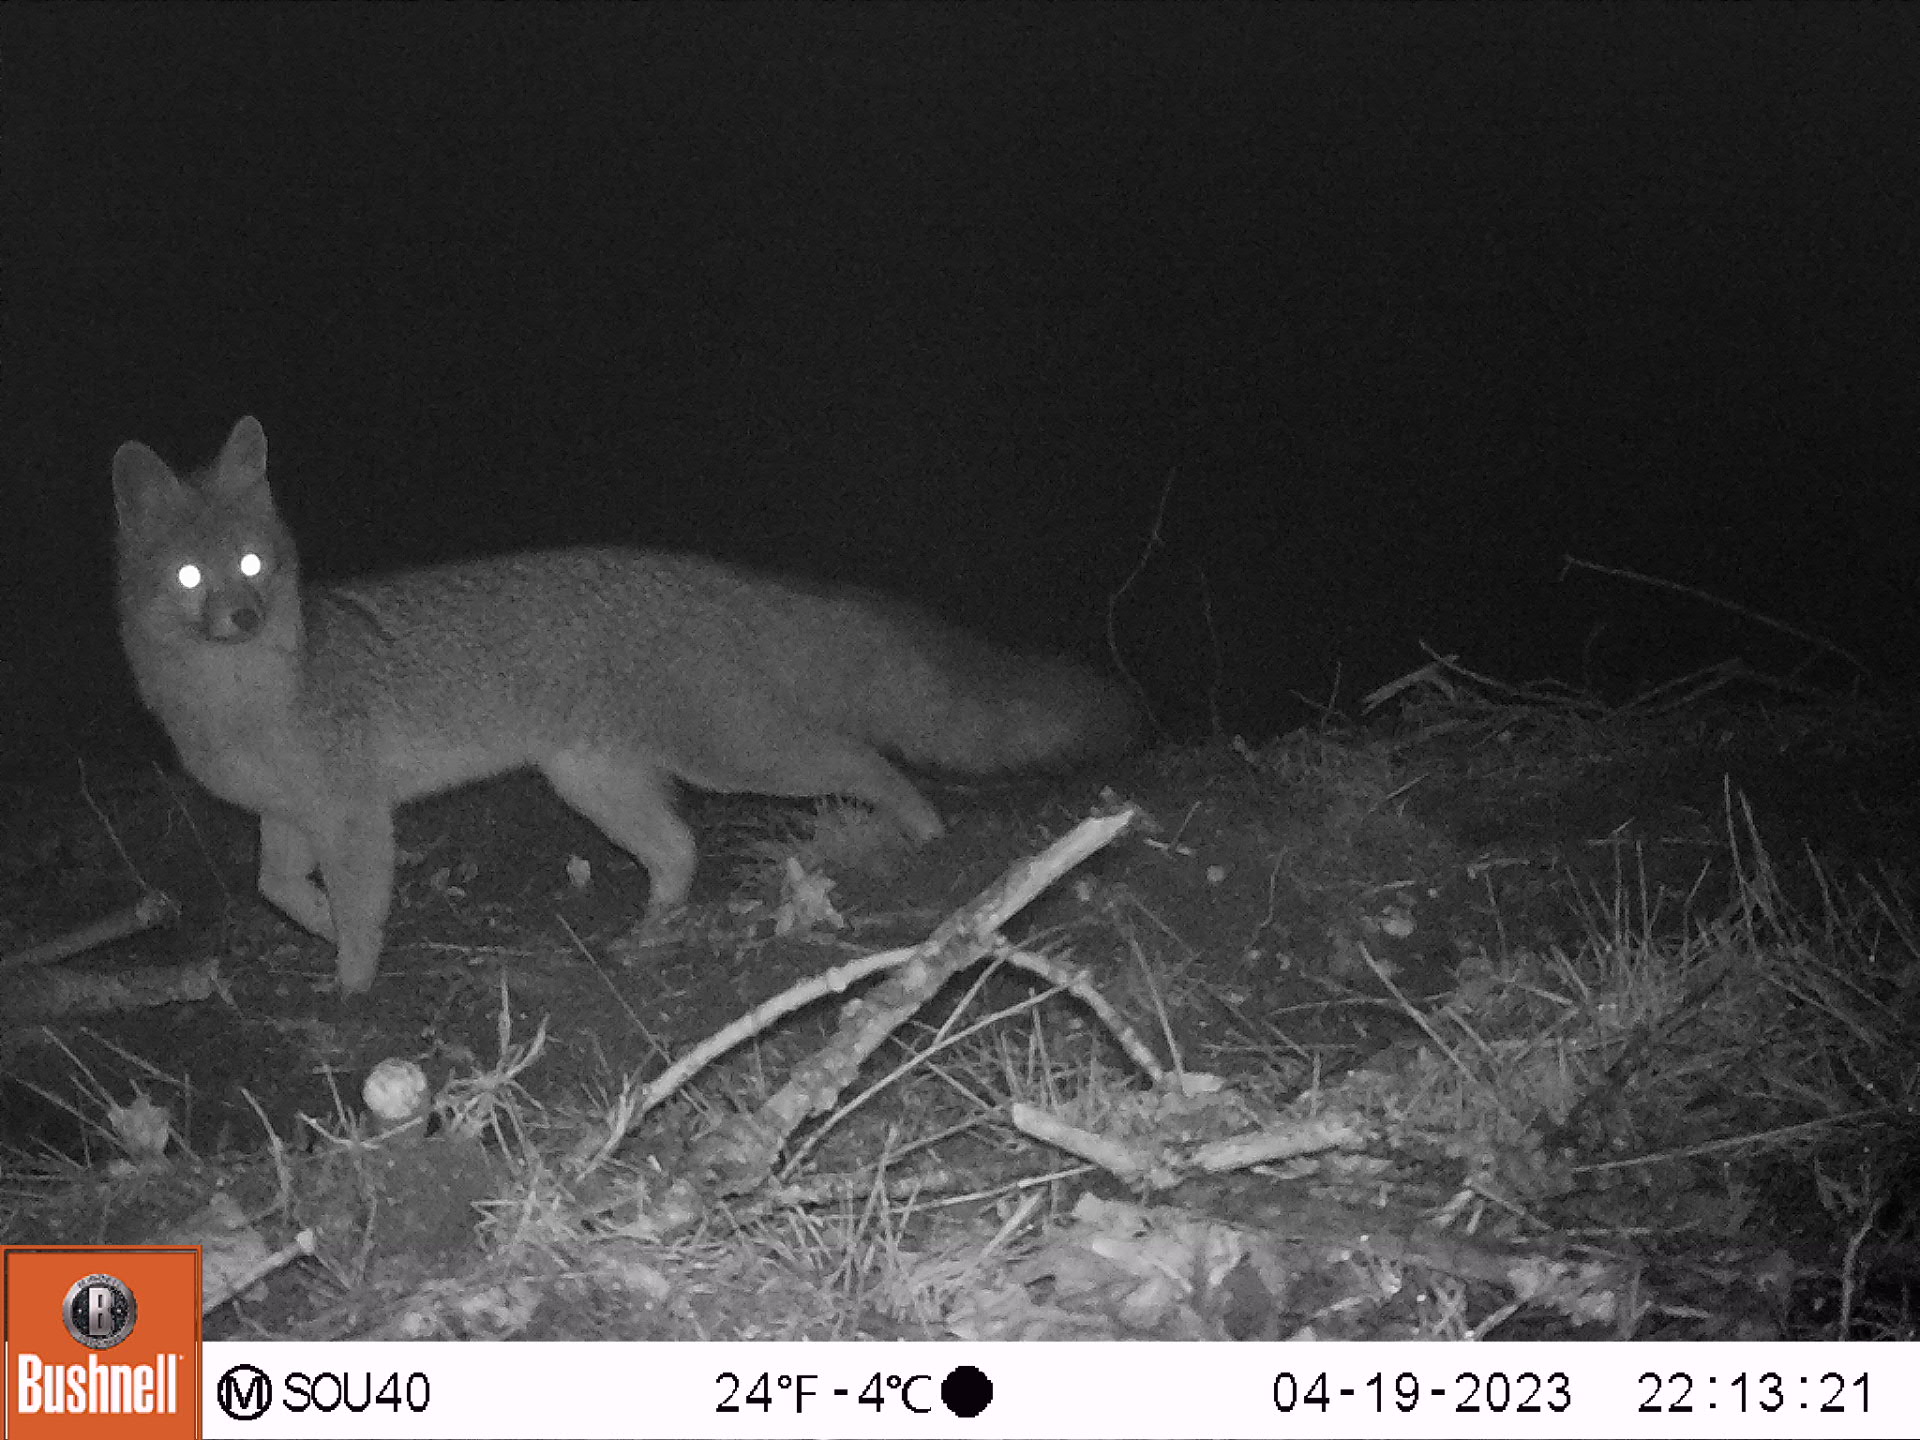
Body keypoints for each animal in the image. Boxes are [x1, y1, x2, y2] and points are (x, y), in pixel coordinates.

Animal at [112, 417, 1141, 993]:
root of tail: (701, 573)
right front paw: (322, 934)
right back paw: (651, 932)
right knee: (679, 850)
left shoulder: (355, 814)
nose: (242, 617)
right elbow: (277, 890)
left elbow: (361, 912)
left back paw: (925, 833)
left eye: (254, 565)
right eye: (194, 577)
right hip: (597, 785)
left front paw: (353, 990)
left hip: (735, 758)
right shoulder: (285, 817)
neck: (241, 701)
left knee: (863, 761)